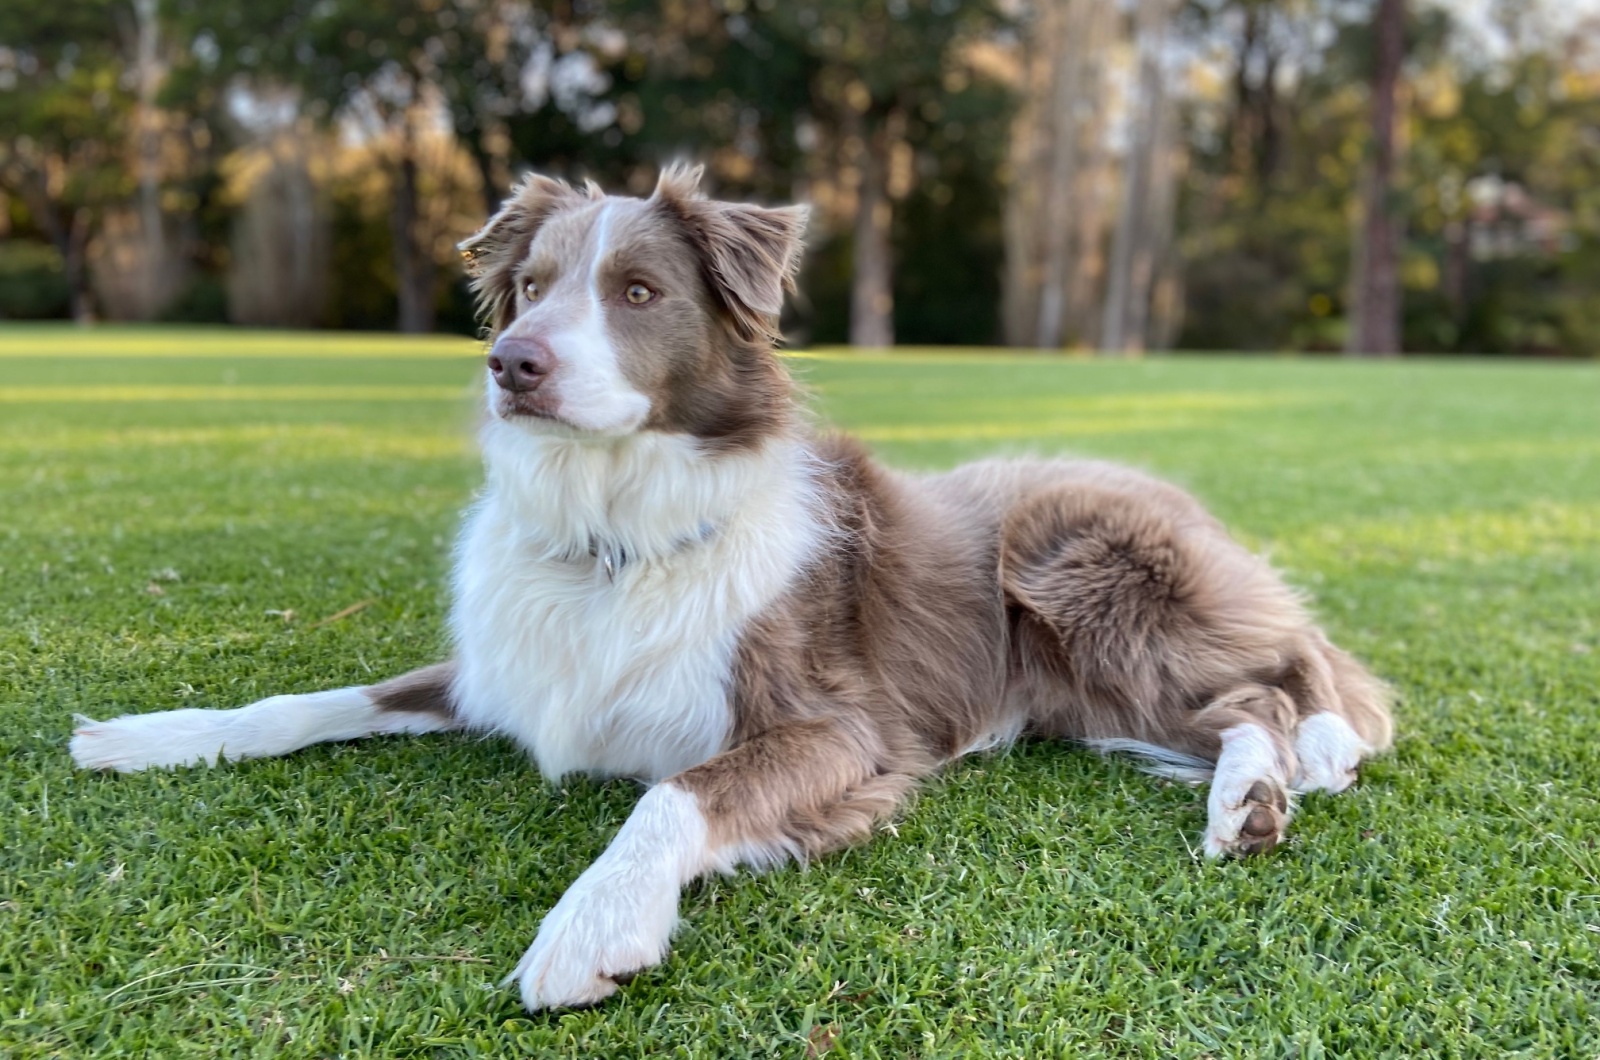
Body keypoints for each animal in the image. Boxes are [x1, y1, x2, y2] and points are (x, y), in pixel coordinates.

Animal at [68, 164, 1388, 1011]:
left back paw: (1280, 773)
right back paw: (1251, 796)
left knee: (1285, 674)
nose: (510, 364)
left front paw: (591, 925)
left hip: (1077, 566)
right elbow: (311, 699)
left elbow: (674, 794)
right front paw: (150, 734)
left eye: (639, 292)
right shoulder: (501, 669)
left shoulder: (843, 729)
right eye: (532, 285)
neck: (610, 535)